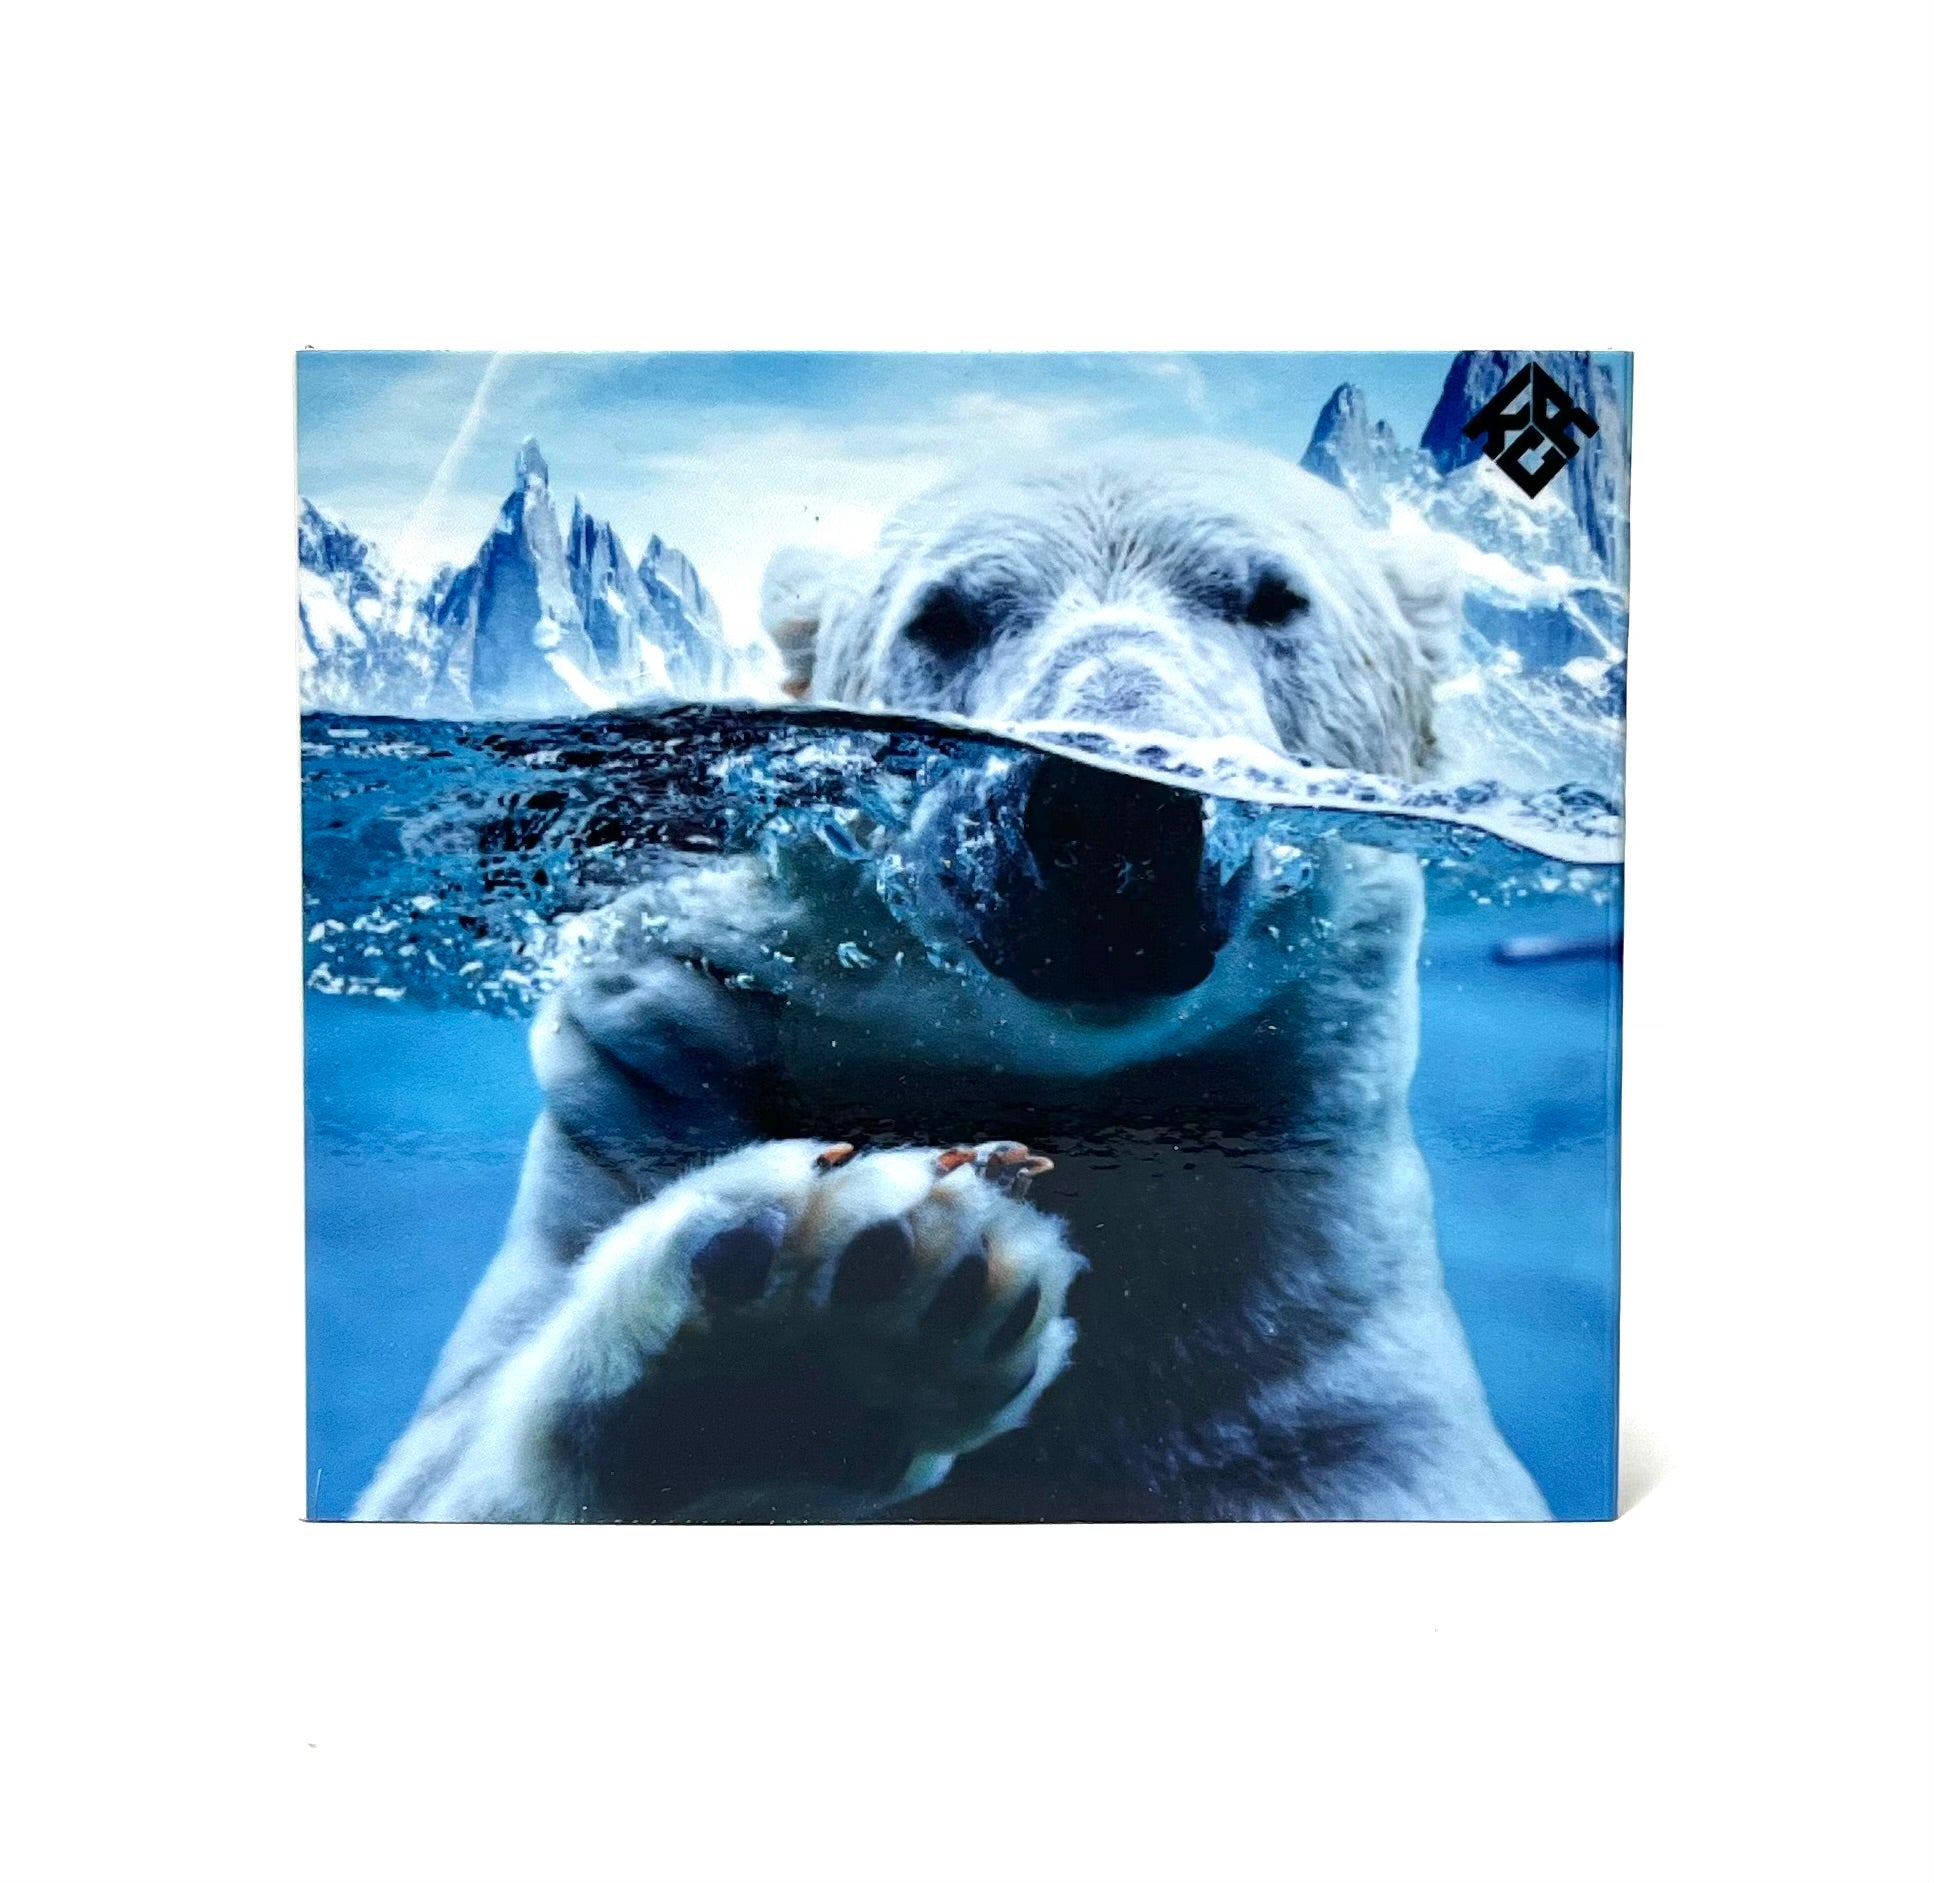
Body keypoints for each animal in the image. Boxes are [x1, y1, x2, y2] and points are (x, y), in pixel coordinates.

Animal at [355, 441, 1549, 1522]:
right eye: (944, 616)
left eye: (1272, 597)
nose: (1112, 806)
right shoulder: (650, 1084)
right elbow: (442, 1474)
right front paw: (805, 1334)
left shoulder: (1324, 1396)